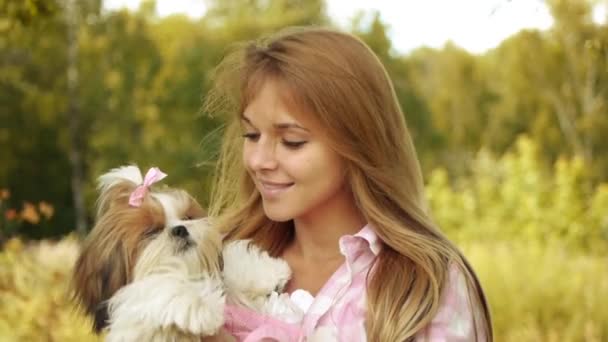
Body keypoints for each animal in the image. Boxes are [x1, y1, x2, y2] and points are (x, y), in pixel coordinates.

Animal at [71, 165, 294, 340]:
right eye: (151, 231)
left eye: (187, 217)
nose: (180, 229)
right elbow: (156, 286)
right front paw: (200, 305)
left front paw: (267, 271)